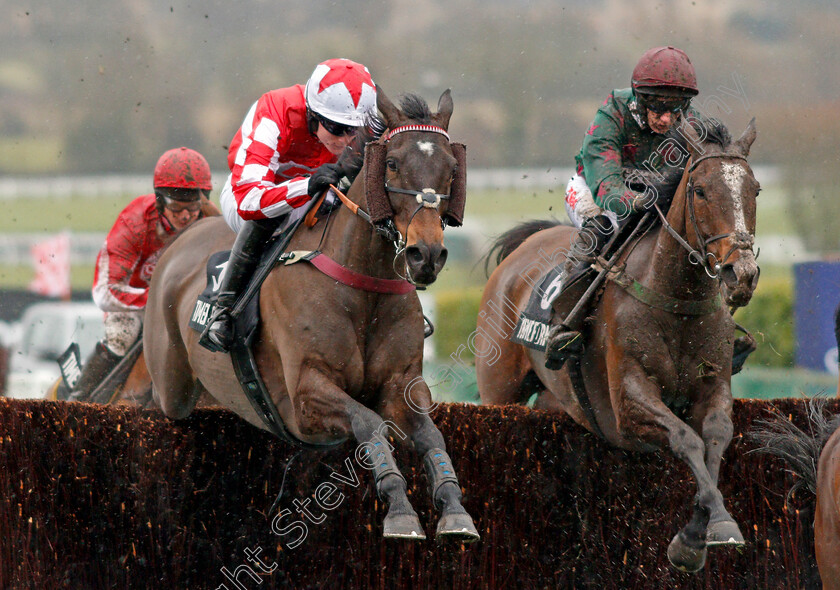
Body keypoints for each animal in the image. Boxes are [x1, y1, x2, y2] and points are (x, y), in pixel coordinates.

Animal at [143, 89, 480, 544]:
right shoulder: (305, 397)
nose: (425, 255)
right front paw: (400, 511)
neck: (361, 284)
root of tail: (184, 237)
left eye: (452, 169)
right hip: (172, 387)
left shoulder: (402, 383)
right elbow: (369, 422)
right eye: (392, 162)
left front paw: (455, 509)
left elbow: (432, 435)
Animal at [476, 117, 756, 572]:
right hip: (499, 391)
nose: (742, 273)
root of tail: (523, 249)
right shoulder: (628, 399)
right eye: (699, 190)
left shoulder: (713, 385)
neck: (676, 297)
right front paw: (698, 536)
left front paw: (706, 531)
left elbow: (714, 439)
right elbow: (686, 439)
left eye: (755, 190)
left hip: (559, 400)